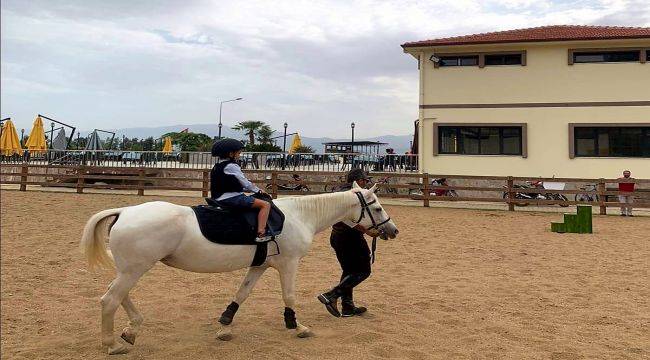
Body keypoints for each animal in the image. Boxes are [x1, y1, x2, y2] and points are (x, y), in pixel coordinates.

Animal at [80, 183, 394, 354]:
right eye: (377, 208)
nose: (393, 230)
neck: (297, 216)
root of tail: (124, 211)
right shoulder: (289, 264)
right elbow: (289, 296)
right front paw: (297, 326)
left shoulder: (260, 266)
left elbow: (242, 293)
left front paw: (225, 325)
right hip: (135, 269)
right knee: (110, 300)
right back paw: (113, 344)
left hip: (132, 269)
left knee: (118, 295)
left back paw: (131, 331)